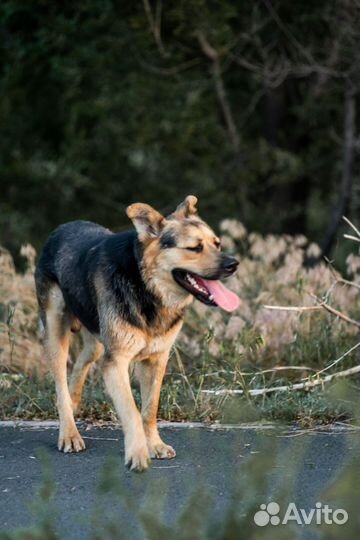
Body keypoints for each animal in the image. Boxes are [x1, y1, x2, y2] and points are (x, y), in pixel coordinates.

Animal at [35, 196, 240, 470]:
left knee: (80, 366)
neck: (147, 287)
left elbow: (150, 409)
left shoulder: (156, 359)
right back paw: (69, 433)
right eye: (195, 248)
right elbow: (131, 411)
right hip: (57, 332)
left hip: (97, 342)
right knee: (59, 386)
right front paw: (138, 454)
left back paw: (74, 401)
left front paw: (155, 445)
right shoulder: (116, 363)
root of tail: (61, 228)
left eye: (217, 244)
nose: (233, 264)